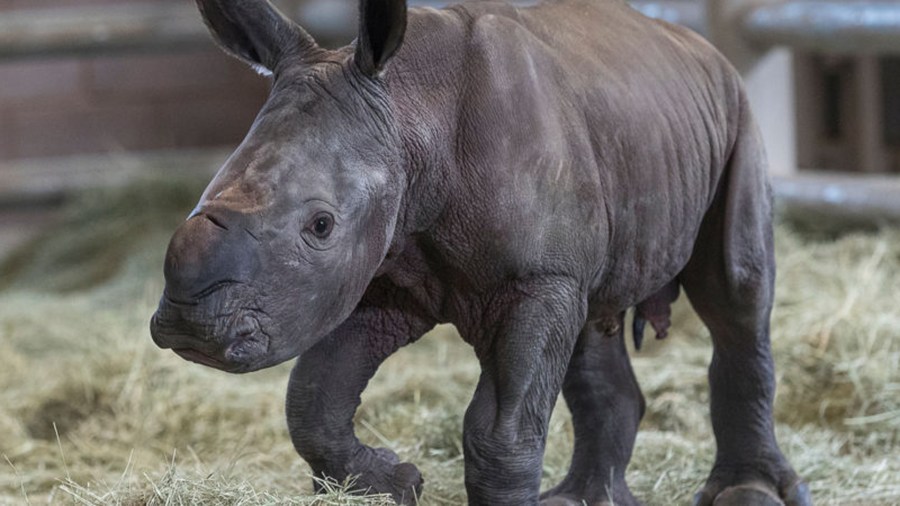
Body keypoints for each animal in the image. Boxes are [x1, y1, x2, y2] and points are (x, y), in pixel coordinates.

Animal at [149, 0, 808, 506]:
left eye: (320, 225)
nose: (189, 327)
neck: (412, 112)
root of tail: (698, 47)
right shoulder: (386, 273)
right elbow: (313, 395)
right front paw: (395, 482)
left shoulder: (534, 278)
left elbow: (501, 431)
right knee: (592, 322)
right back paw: (582, 499)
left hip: (736, 117)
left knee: (735, 294)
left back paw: (750, 493)